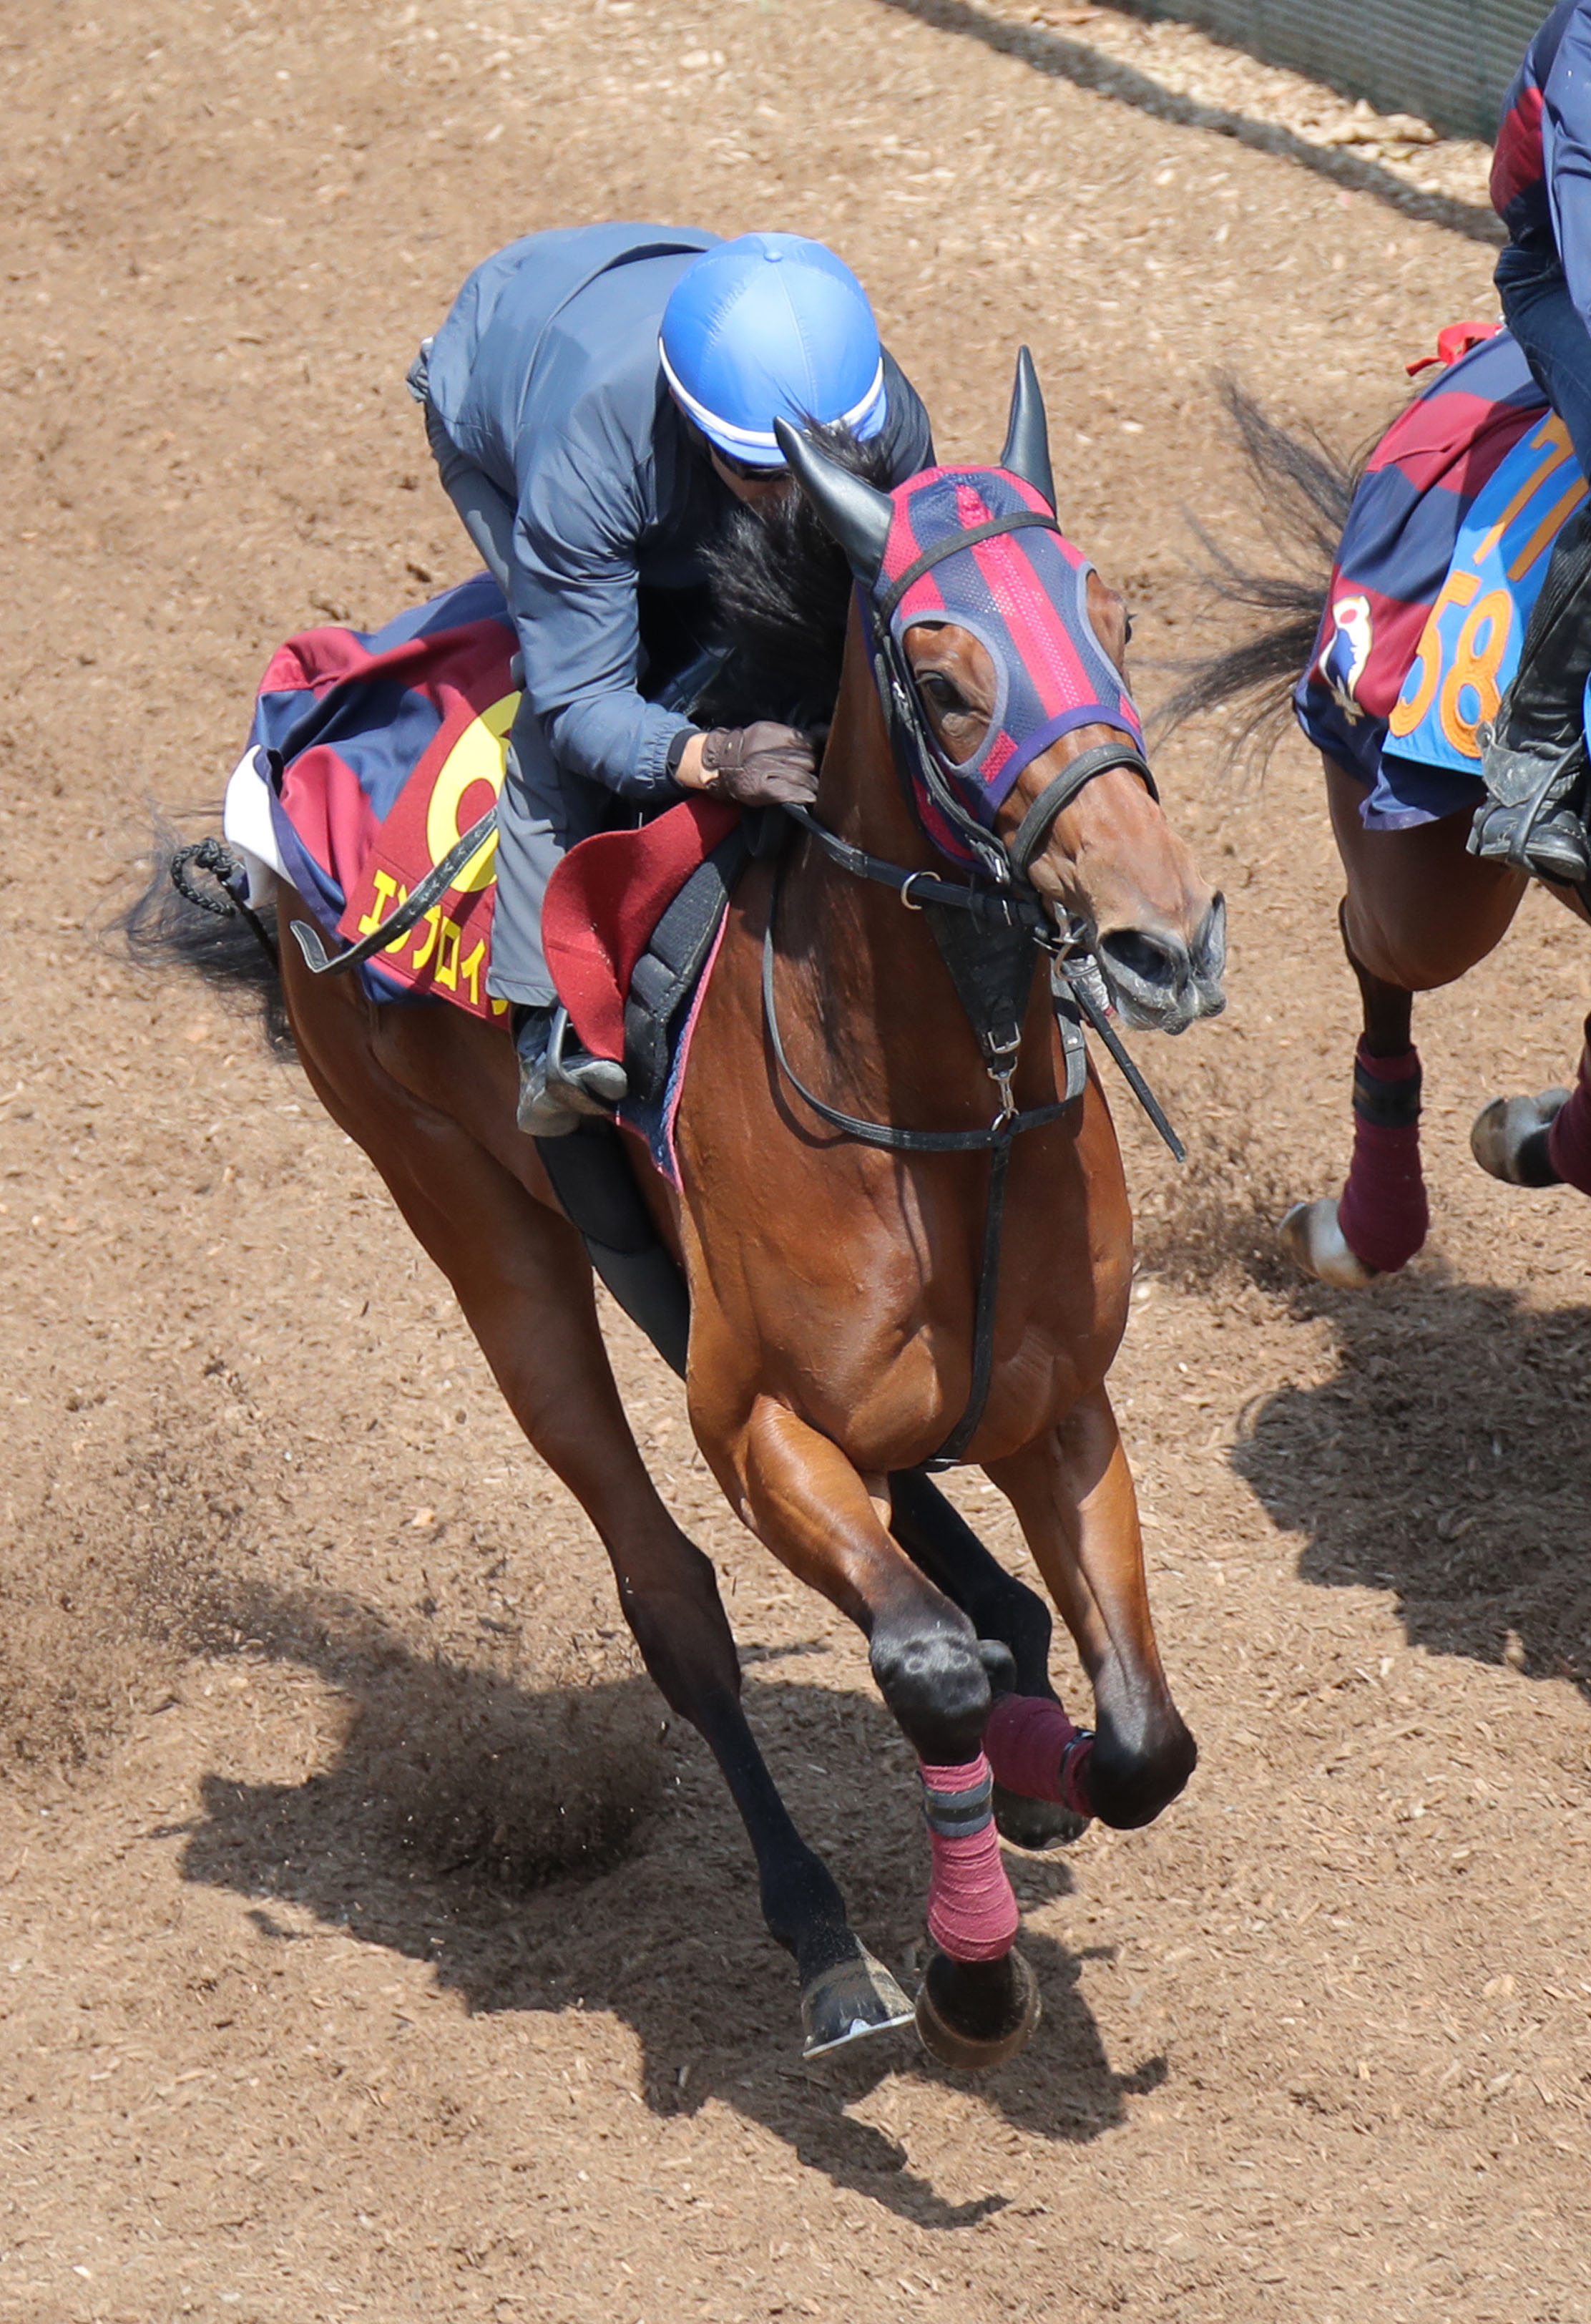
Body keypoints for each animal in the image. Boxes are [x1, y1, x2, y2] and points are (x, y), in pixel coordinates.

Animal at [128, 356, 1226, 2072]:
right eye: (939, 677)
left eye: (1109, 616)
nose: (1162, 940)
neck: (945, 1121)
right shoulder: (757, 1423)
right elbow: (919, 1666)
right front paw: (969, 1975)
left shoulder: (1061, 1408)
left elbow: (1138, 1742)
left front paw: (1044, 1767)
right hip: (486, 1238)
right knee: (674, 1598)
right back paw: (826, 1941)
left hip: (650, 1265)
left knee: (935, 1556)